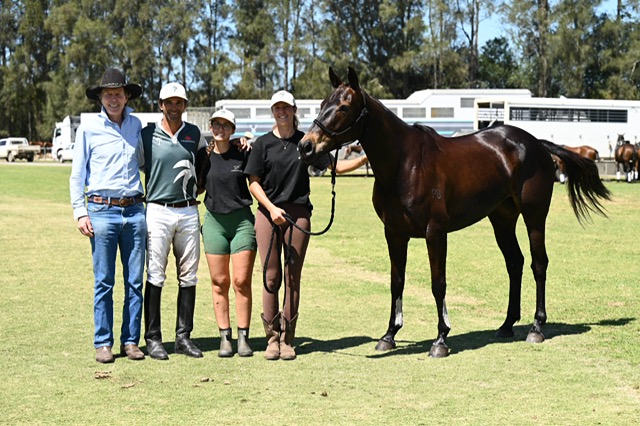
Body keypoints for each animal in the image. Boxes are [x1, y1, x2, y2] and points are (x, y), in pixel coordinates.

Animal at [298, 67, 612, 357]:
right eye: (323, 102)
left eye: (344, 107)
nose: (306, 146)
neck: (405, 163)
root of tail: (537, 144)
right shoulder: (394, 233)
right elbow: (396, 282)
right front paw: (389, 335)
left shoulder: (435, 233)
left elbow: (438, 283)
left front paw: (440, 339)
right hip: (502, 219)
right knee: (515, 263)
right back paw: (507, 324)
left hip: (534, 216)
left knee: (539, 264)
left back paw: (536, 327)